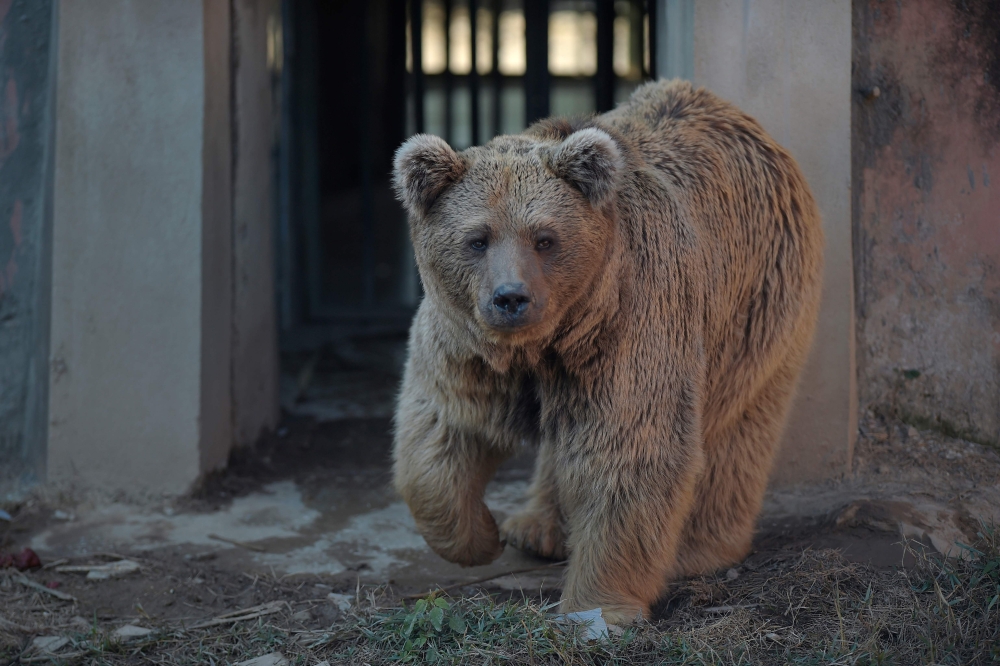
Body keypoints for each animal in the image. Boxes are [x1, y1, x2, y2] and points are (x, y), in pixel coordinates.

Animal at [391, 79, 824, 625]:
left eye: (545, 238)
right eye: (477, 238)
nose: (511, 298)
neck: (546, 342)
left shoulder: (629, 323)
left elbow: (627, 447)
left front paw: (596, 608)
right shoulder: (468, 343)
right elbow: (442, 431)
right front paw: (482, 536)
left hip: (759, 305)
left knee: (739, 427)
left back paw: (700, 549)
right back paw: (535, 527)